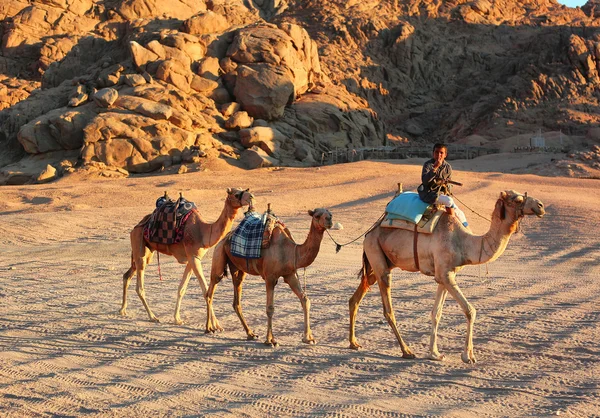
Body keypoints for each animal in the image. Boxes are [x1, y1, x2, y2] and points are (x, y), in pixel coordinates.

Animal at [119, 188, 253, 324]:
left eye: (244, 189)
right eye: (236, 194)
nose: (251, 197)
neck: (204, 231)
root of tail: (136, 226)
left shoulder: (192, 259)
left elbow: (182, 289)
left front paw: (177, 318)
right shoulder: (194, 257)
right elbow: (206, 290)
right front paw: (215, 324)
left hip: (146, 252)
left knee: (127, 275)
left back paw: (123, 310)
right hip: (139, 245)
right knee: (139, 287)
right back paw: (152, 316)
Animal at [209, 209, 336, 346]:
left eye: (330, 213)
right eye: (317, 215)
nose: (329, 220)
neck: (291, 251)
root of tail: (225, 238)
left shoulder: (290, 274)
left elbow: (305, 300)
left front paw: (308, 338)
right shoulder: (270, 277)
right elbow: (270, 308)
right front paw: (270, 340)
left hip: (237, 268)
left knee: (236, 300)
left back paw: (250, 334)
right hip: (219, 254)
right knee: (210, 291)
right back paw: (210, 328)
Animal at [350, 190, 548, 362]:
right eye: (517, 199)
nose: (540, 206)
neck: (464, 242)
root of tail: (369, 233)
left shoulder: (444, 275)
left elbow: (436, 313)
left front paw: (434, 353)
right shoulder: (445, 274)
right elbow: (470, 310)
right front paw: (468, 356)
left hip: (378, 261)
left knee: (358, 294)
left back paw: (353, 343)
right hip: (377, 255)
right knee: (388, 309)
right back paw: (406, 351)